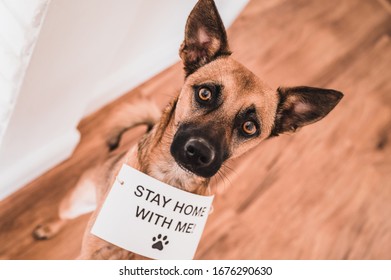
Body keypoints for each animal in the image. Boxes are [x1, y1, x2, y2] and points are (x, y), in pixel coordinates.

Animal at [35, 0, 344, 260]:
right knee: (62, 216)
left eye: (249, 127)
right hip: (77, 201)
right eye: (205, 93)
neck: (171, 181)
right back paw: (48, 228)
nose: (198, 153)